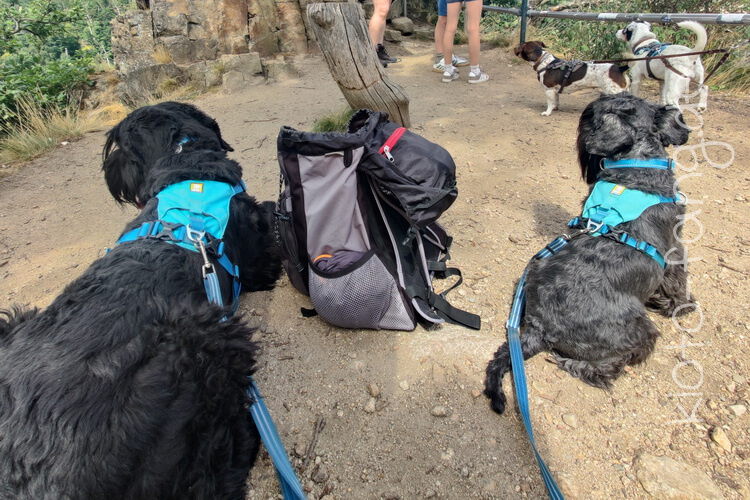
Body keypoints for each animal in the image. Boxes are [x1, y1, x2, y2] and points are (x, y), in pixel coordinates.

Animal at [0, 102, 281, 498]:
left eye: (118, 145)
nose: (108, 171)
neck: (183, 160)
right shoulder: (259, 264)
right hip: (210, 334)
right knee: (214, 477)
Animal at [484, 93, 694, 414]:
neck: (635, 164)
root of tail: (540, 327)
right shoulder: (674, 248)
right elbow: (678, 281)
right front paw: (683, 306)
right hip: (641, 331)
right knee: (604, 368)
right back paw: (575, 363)